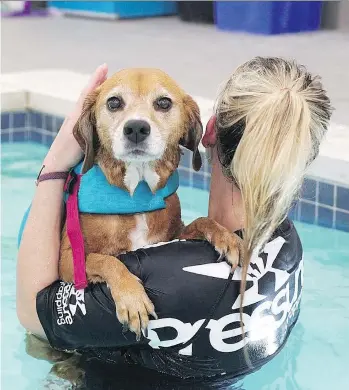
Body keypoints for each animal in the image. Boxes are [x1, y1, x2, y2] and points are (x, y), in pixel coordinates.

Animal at [56, 69, 242, 338]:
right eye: (114, 102)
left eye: (163, 103)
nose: (135, 127)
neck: (138, 196)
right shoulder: (69, 261)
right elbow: (106, 260)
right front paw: (132, 298)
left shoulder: (173, 236)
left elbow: (202, 221)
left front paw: (226, 236)